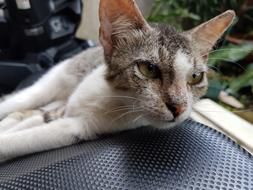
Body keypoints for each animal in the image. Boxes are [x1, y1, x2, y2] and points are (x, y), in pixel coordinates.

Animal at [0, 0, 235, 163]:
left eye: (195, 77)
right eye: (148, 69)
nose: (179, 108)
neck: (112, 96)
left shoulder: (79, 126)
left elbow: (23, 138)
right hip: (49, 85)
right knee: (18, 105)